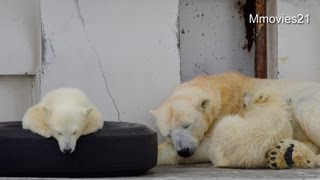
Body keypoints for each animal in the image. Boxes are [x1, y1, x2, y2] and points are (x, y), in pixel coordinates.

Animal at [151, 71, 320, 169]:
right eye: (168, 134)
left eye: (187, 125)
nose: (184, 151)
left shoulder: (227, 114)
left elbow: (207, 146)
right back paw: (284, 153)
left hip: (308, 99)